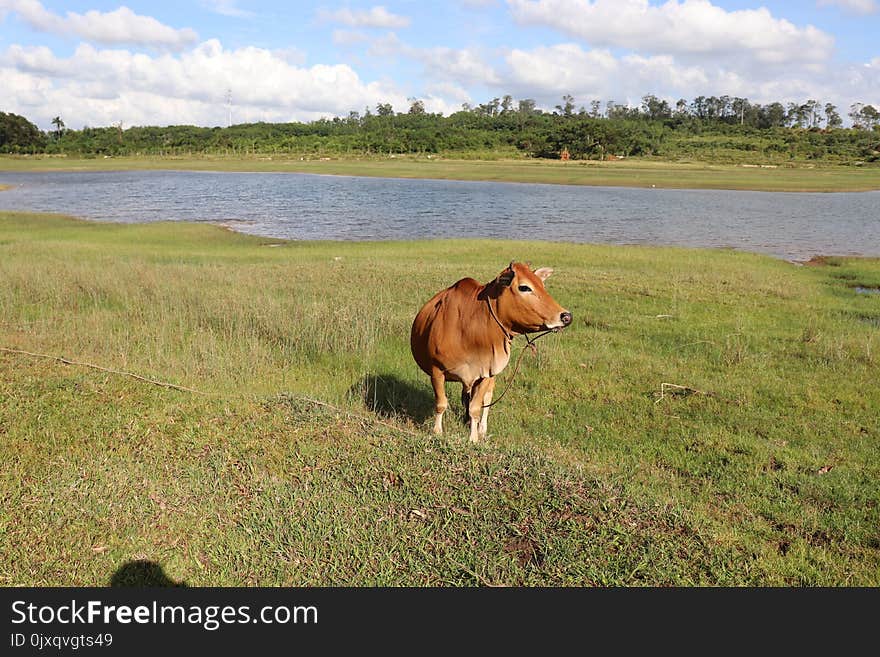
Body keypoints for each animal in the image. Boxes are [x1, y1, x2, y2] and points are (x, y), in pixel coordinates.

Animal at [410, 262, 572, 440]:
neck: (470, 331)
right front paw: (437, 431)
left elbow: (475, 408)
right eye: (524, 287)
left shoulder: (486, 373)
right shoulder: (436, 371)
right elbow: (441, 403)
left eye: (542, 285)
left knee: (485, 401)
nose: (566, 316)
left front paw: (473, 438)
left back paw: (482, 428)